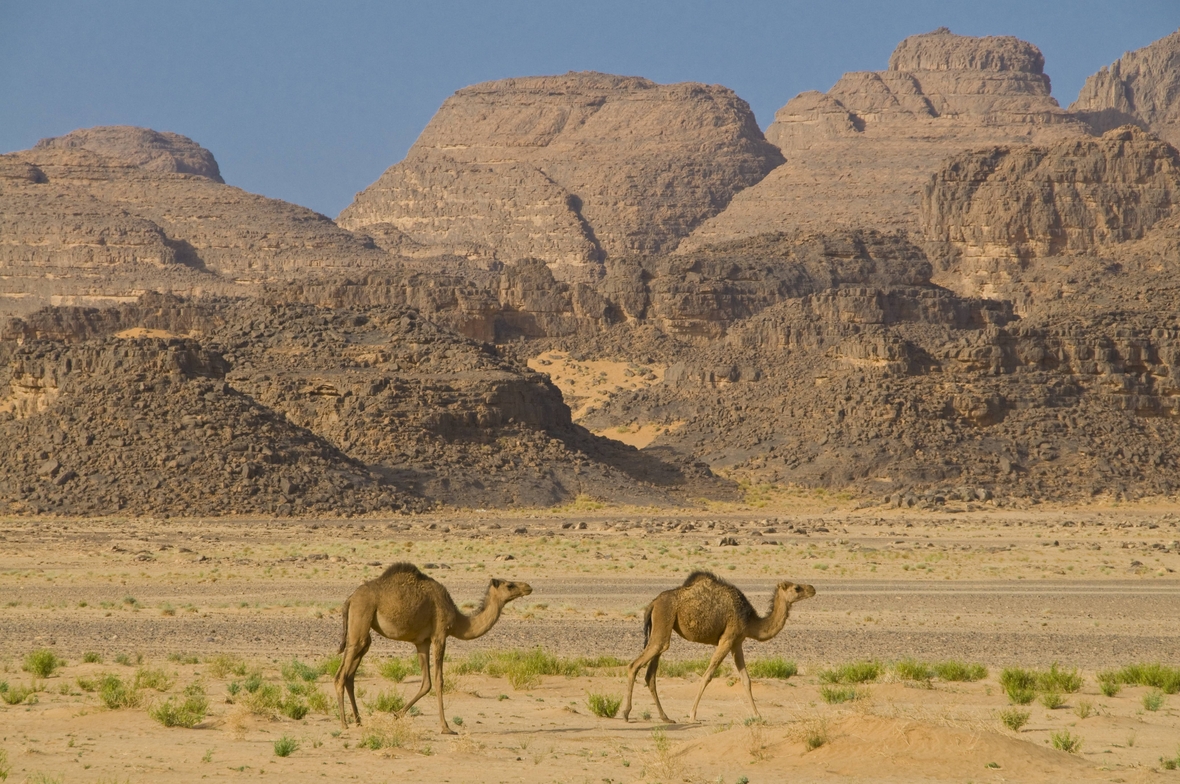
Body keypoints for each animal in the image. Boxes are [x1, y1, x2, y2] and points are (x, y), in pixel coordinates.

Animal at [335, 559, 533, 732]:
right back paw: (344, 724)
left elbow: (426, 683)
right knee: (341, 675)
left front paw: (396, 714)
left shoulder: (422, 642)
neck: (459, 620)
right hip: (361, 616)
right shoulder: (440, 635)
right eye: (510, 585)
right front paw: (446, 727)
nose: (528, 587)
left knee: (351, 674)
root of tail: (349, 599)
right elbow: (439, 680)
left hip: (362, 630)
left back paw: (358, 721)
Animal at [623, 569, 816, 722]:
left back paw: (665, 717)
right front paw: (692, 714)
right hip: (663, 621)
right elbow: (707, 676)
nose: (812, 589)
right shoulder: (727, 639)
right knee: (634, 665)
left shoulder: (737, 643)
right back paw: (626, 713)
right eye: (797, 588)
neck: (750, 621)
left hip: (661, 629)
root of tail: (653, 603)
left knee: (650, 674)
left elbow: (746, 680)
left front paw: (758, 715)